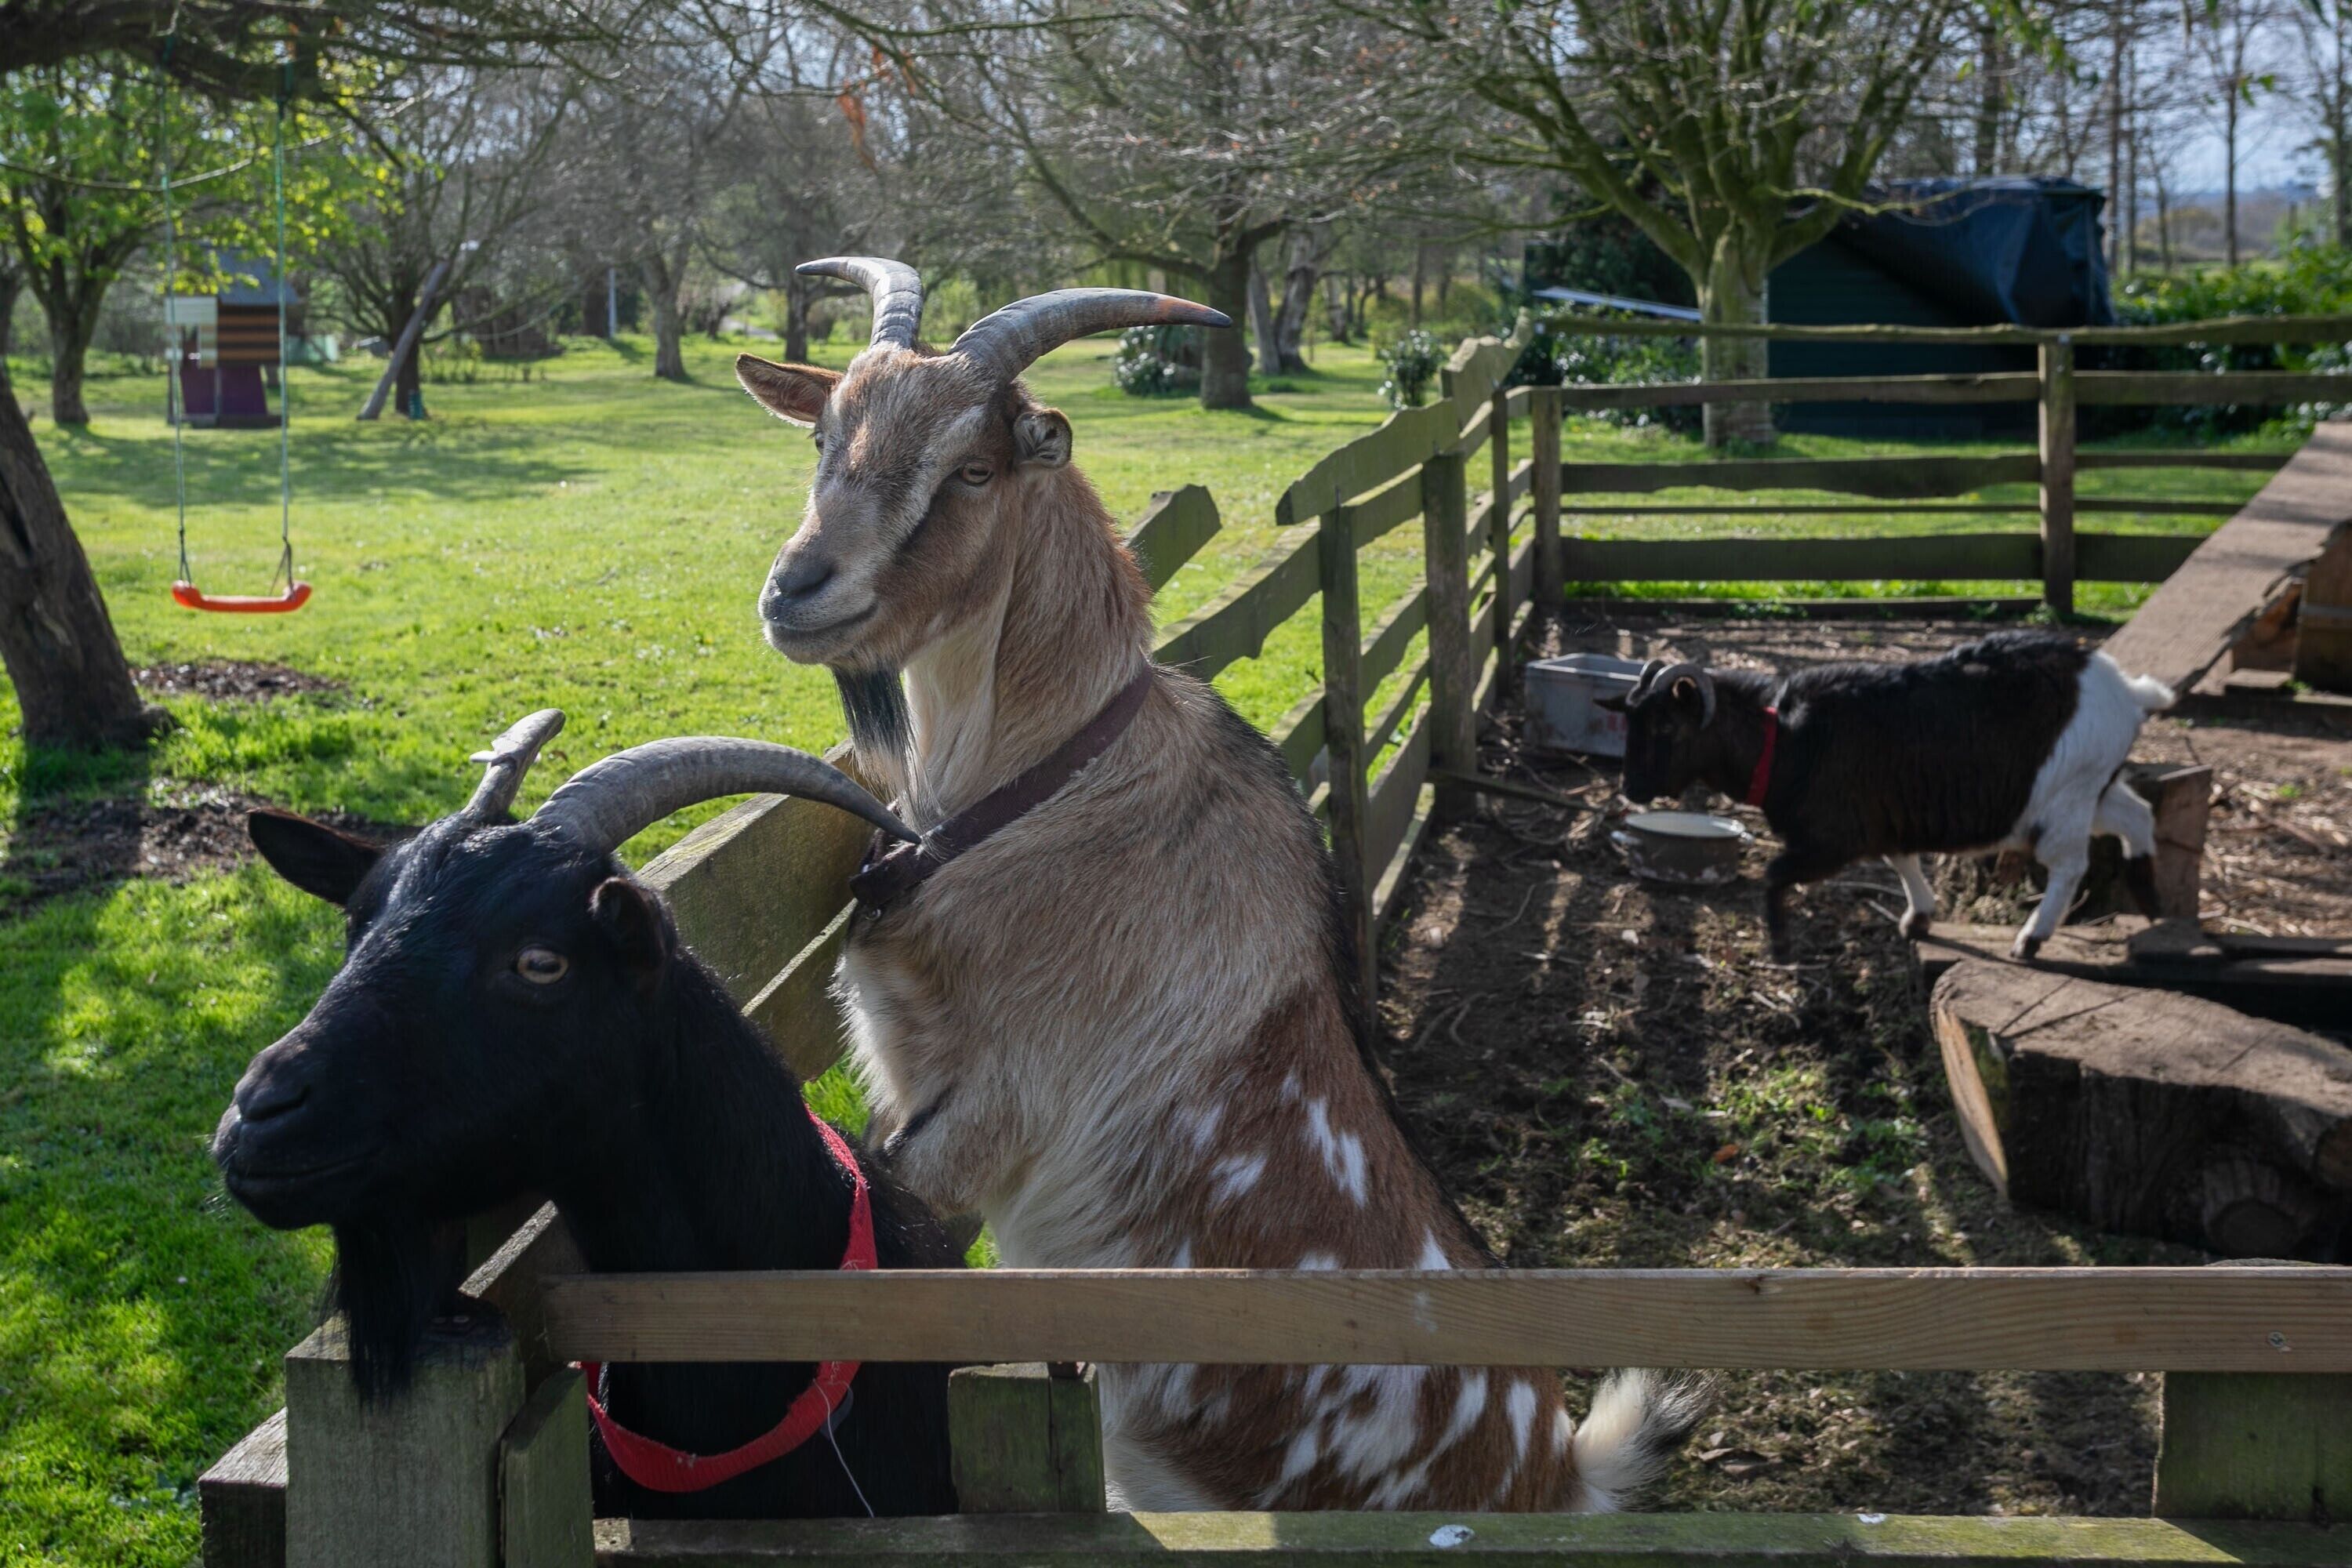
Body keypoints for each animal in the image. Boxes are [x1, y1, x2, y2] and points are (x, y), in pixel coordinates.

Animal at [732, 256, 1707, 1513]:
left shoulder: (992, 1115)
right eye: (825, 437)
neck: (1044, 789)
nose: (797, 590)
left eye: (972, 468)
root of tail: (1555, 1473)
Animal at [1597, 630, 2176, 962]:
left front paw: (1781, 948)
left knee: (2071, 864)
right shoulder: (1884, 820)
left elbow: (1775, 875)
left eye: (1666, 726)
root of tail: (2128, 692)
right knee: (2138, 815)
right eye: (1631, 721)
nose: (1631, 788)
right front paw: (1918, 918)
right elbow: (1902, 860)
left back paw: (2032, 940)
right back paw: (2150, 901)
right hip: (2089, 788)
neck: (1786, 741)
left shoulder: (1833, 839)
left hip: (2065, 800)